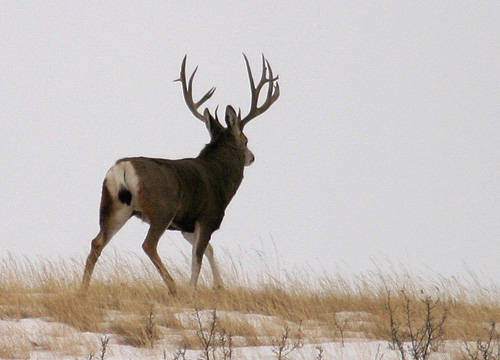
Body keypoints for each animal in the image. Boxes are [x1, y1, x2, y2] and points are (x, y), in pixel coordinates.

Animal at [80, 53, 280, 296]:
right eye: (245, 140)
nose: (252, 157)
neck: (219, 177)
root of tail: (123, 167)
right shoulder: (207, 216)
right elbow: (198, 257)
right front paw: (193, 291)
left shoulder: (186, 225)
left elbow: (208, 250)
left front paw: (219, 286)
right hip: (161, 209)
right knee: (148, 245)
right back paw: (173, 286)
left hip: (115, 207)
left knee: (96, 242)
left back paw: (83, 289)